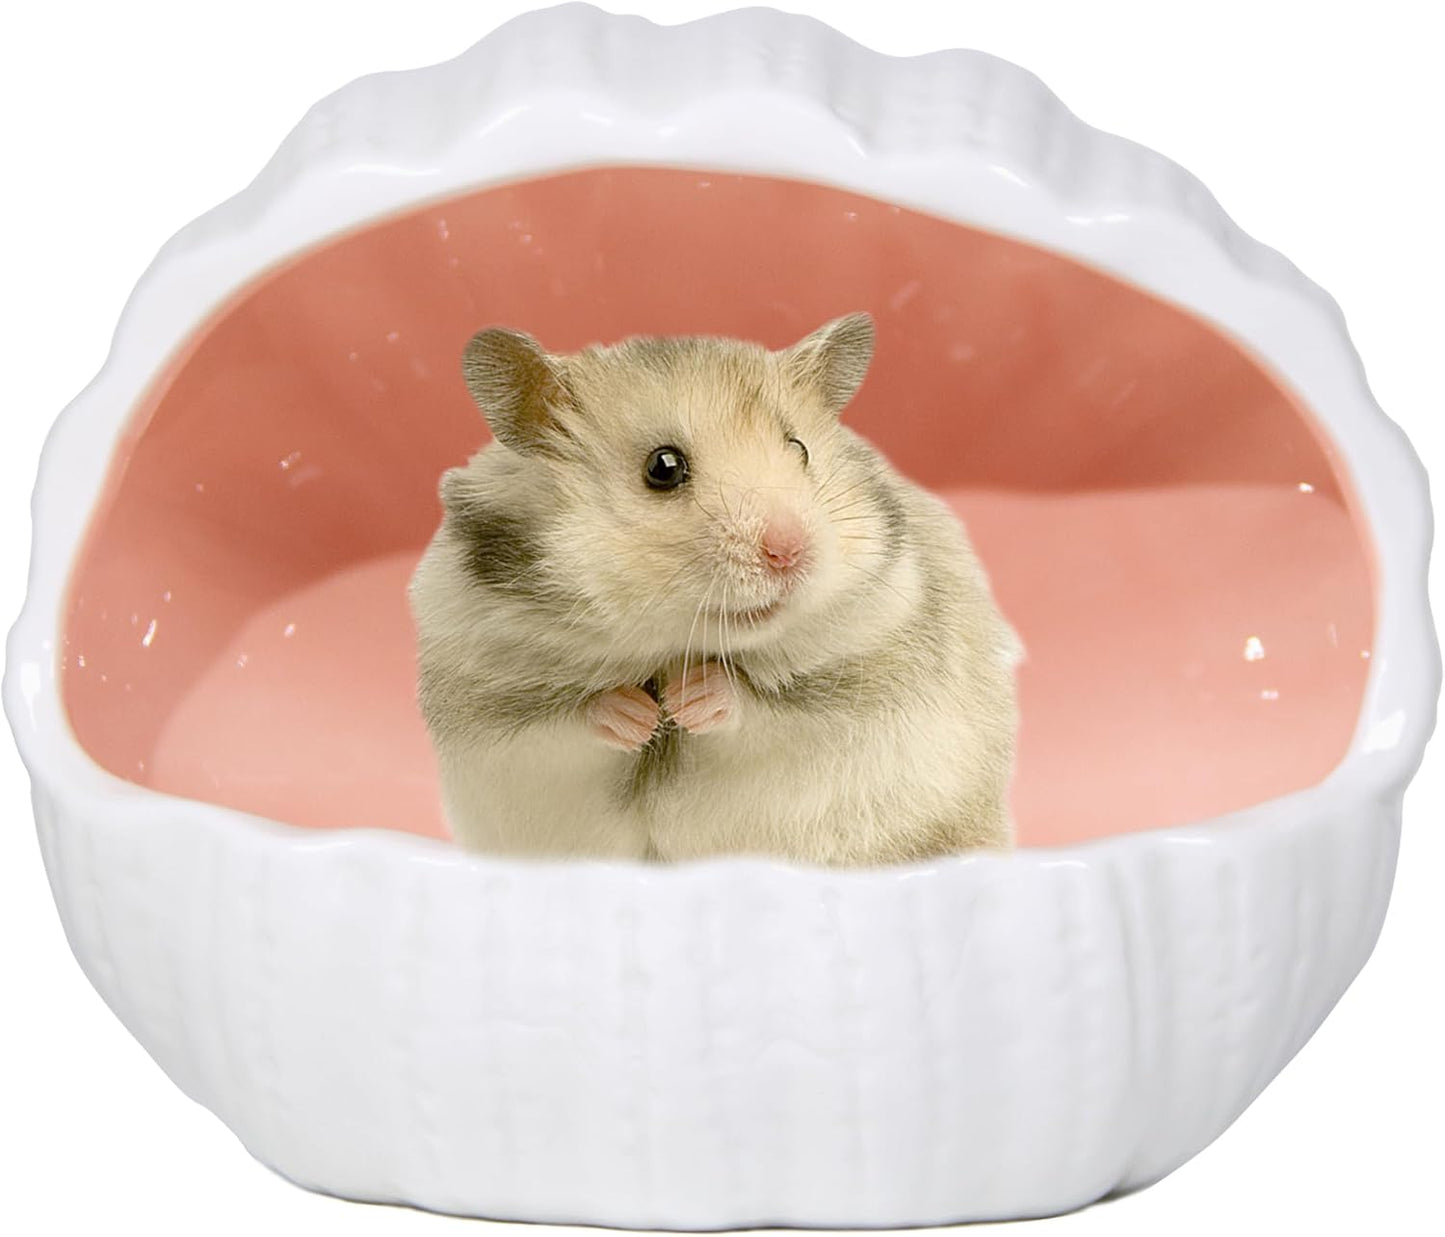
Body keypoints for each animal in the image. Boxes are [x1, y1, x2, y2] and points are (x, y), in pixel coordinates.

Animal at [408, 312, 1019, 866]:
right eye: (663, 467)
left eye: (799, 448)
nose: (790, 552)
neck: (673, 645)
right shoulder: (488, 713)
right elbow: (569, 722)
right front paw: (639, 715)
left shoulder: (858, 689)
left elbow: (760, 708)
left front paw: (688, 699)